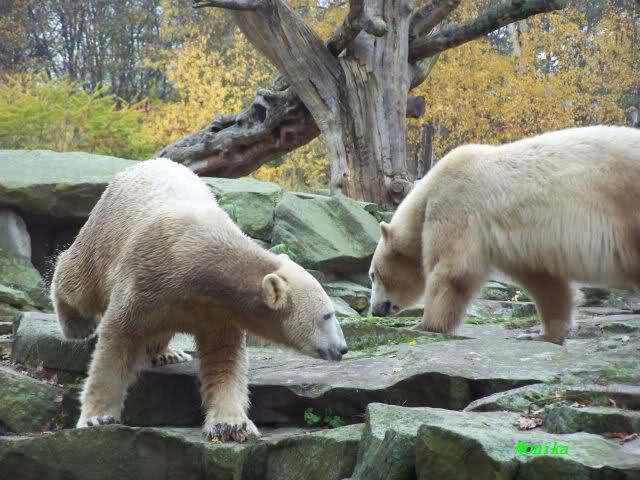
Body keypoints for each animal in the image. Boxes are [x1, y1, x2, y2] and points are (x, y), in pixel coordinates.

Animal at [50, 157, 347, 442]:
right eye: (327, 316)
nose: (343, 348)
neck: (202, 263)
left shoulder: (218, 312)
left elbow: (224, 359)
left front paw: (232, 424)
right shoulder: (144, 279)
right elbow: (117, 340)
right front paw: (97, 418)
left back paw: (168, 353)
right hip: (106, 231)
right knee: (79, 281)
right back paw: (76, 325)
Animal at [368, 125, 640, 345]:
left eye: (373, 275)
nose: (374, 310)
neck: (427, 192)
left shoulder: (455, 205)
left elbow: (452, 270)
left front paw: (426, 325)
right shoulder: (518, 242)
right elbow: (544, 281)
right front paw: (547, 333)